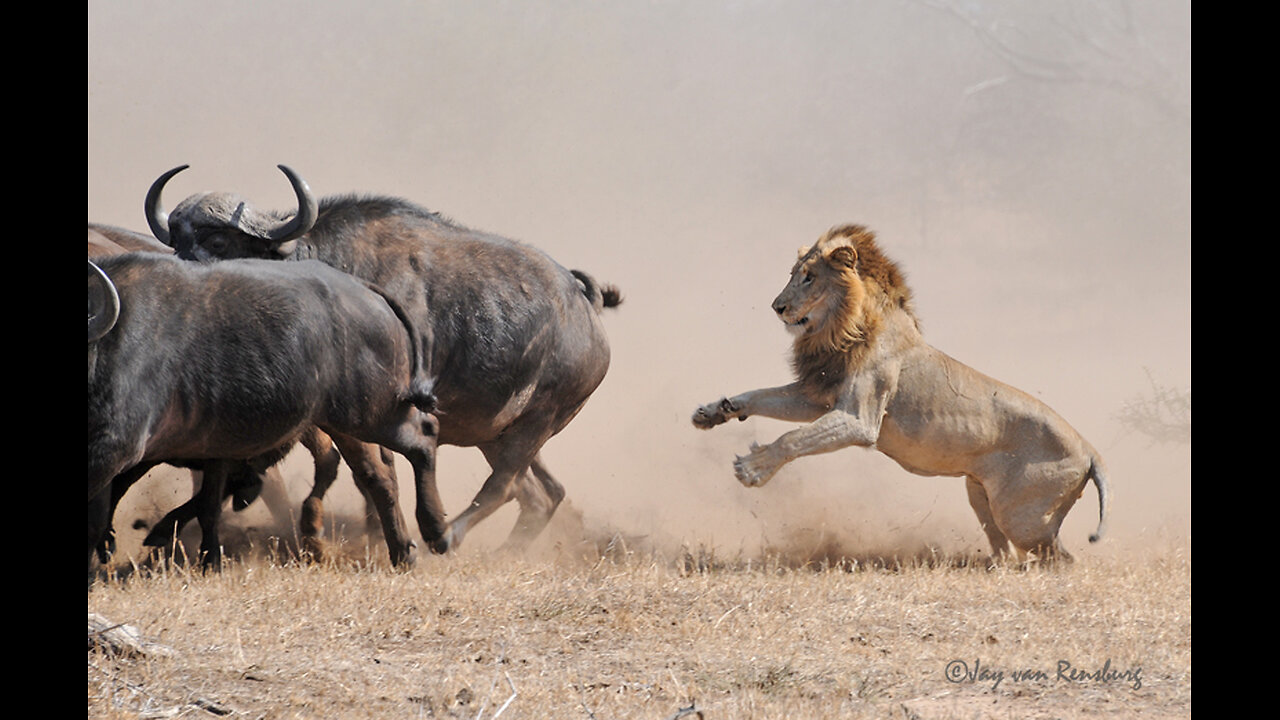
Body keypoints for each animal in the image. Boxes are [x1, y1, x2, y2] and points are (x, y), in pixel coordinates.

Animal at [88, 252, 440, 566]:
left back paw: (432, 531)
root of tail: (367, 291)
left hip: (370, 413)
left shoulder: (117, 447)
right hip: (348, 421)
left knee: (420, 440)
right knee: (379, 470)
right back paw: (403, 550)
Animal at [147, 165, 622, 550]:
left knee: (504, 486)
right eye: (177, 241)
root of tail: (586, 307)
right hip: (498, 432)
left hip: (536, 423)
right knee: (543, 494)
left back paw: (445, 536)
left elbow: (375, 470)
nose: (177, 283)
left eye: (218, 240)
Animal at [696, 224, 1105, 561]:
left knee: (1062, 559)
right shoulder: (817, 398)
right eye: (793, 276)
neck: (841, 328)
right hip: (981, 495)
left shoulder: (859, 420)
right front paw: (714, 411)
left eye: (809, 278)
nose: (777, 307)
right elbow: (761, 396)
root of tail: (1090, 451)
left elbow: (793, 438)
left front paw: (752, 469)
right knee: (1009, 554)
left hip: (1022, 517)